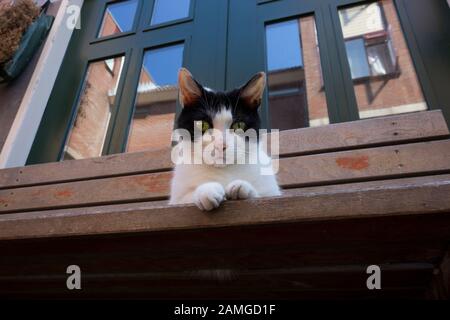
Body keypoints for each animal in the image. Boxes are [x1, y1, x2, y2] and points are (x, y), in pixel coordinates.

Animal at [170, 69, 282, 211]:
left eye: (239, 125)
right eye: (202, 124)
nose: (220, 145)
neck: (224, 171)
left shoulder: (272, 193)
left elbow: (262, 196)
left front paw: (242, 187)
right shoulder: (176, 200)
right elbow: (186, 197)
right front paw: (207, 190)